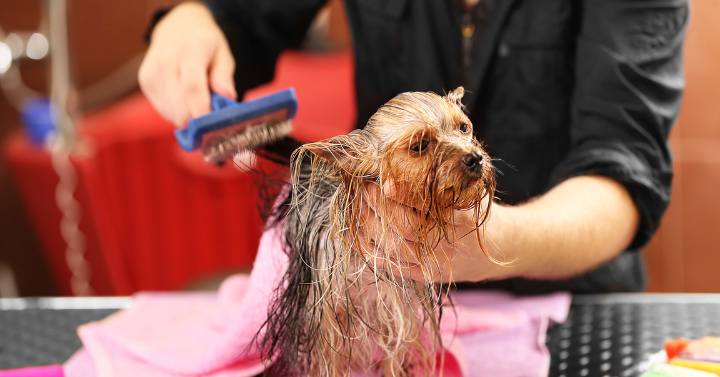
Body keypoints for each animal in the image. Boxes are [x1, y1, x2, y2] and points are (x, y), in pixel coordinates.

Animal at [258, 86, 496, 374]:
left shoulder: (396, 314)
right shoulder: (326, 320)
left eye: (463, 127)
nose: (475, 158)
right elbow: (329, 361)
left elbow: (394, 355)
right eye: (420, 146)